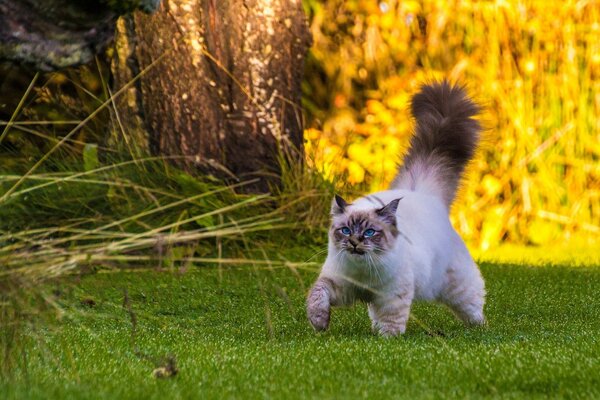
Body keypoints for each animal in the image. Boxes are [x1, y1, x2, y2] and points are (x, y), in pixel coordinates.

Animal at [308, 79, 486, 336]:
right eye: (346, 230)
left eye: (369, 232)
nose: (354, 242)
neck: (364, 273)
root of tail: (421, 192)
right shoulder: (338, 285)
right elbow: (317, 296)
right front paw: (319, 323)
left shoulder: (391, 296)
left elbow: (392, 322)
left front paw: (388, 340)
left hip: (458, 286)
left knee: (474, 304)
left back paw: (480, 327)